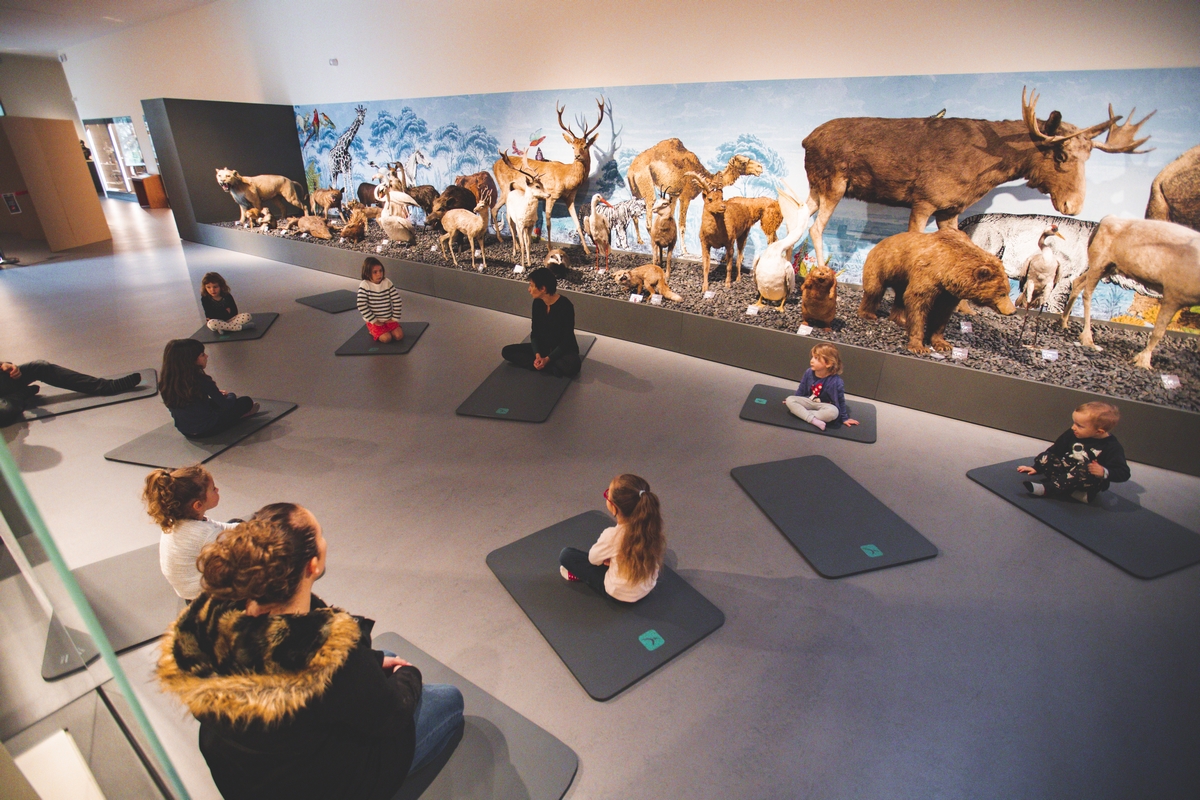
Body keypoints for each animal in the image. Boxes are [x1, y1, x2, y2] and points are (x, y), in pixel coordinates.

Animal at [489, 98, 604, 253]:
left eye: (585, 146)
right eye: (572, 146)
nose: (577, 156)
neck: (567, 178)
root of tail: (494, 165)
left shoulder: (570, 198)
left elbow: (577, 223)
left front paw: (587, 250)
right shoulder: (551, 195)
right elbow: (549, 224)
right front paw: (550, 248)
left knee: (497, 210)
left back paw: (505, 240)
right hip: (504, 186)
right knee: (504, 214)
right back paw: (513, 244)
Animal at [624, 139, 763, 255]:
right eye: (744, 162)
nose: (760, 167)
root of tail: (631, 169)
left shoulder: (674, 194)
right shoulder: (685, 196)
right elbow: (682, 225)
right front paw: (684, 251)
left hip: (635, 191)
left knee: (635, 214)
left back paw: (640, 241)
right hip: (645, 181)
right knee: (649, 214)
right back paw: (658, 248)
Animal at [801, 86, 1156, 263]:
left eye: (1090, 155)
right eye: (1061, 154)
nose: (1073, 205)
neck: (987, 169)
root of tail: (807, 140)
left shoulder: (950, 211)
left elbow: (968, 250)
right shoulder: (924, 202)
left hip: (817, 188)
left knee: (801, 217)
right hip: (833, 184)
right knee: (817, 228)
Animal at [859, 227, 1017, 352]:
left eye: (1008, 291)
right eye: (1002, 293)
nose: (1013, 311)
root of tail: (878, 243)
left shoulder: (948, 293)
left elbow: (942, 314)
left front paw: (942, 343)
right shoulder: (927, 274)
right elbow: (918, 304)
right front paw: (918, 346)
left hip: (901, 278)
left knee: (900, 297)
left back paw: (901, 320)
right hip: (882, 265)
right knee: (874, 289)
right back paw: (868, 314)